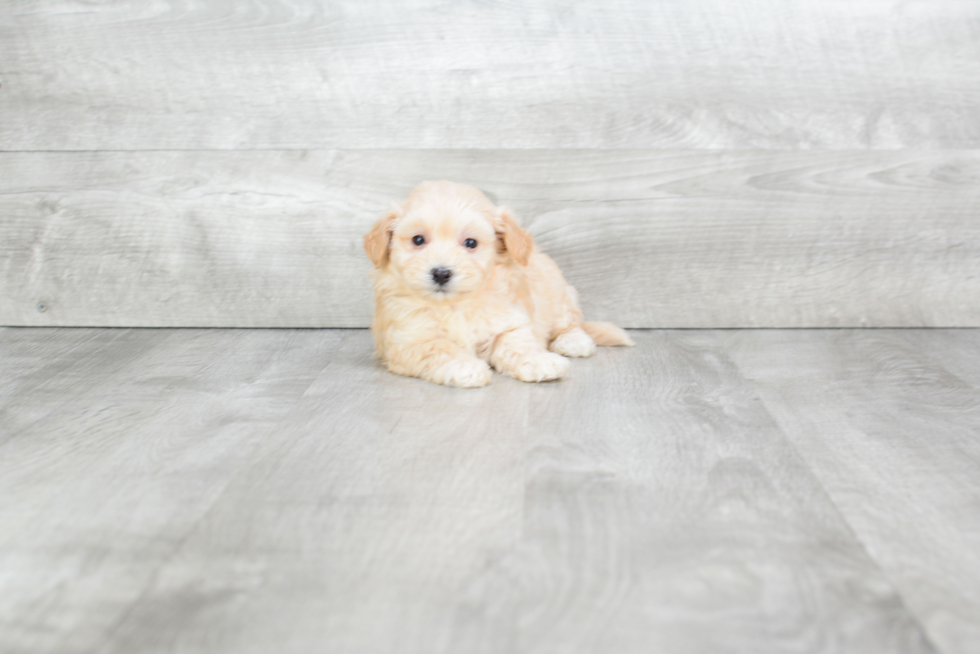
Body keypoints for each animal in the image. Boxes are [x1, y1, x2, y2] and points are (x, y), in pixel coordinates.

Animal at [366, 181, 636, 390]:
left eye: (471, 243)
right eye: (418, 240)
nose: (441, 273)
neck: (455, 304)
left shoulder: (510, 323)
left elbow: (517, 345)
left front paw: (539, 362)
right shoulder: (408, 340)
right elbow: (439, 349)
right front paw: (465, 367)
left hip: (560, 294)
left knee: (570, 324)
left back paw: (573, 341)